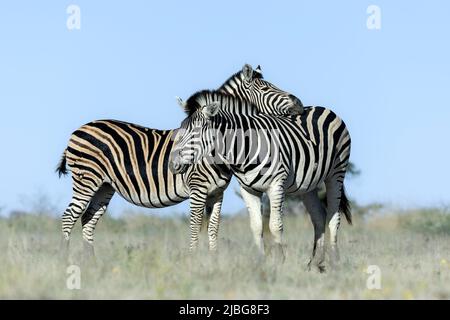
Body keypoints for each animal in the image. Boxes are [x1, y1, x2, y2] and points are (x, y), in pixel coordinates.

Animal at [56, 64, 302, 255]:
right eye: (267, 87)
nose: (299, 104)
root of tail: (77, 130)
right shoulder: (197, 188)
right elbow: (195, 227)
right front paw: (192, 261)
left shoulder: (217, 192)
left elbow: (213, 229)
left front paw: (214, 261)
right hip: (86, 180)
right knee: (68, 217)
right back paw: (67, 261)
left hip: (104, 186)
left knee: (88, 220)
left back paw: (90, 263)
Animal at [169, 90, 352, 272]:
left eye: (195, 133)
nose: (172, 165)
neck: (244, 150)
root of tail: (321, 108)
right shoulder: (247, 189)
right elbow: (256, 226)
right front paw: (260, 262)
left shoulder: (276, 185)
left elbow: (275, 225)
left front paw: (280, 261)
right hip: (308, 186)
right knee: (319, 217)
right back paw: (316, 263)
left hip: (336, 173)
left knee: (333, 218)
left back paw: (335, 262)